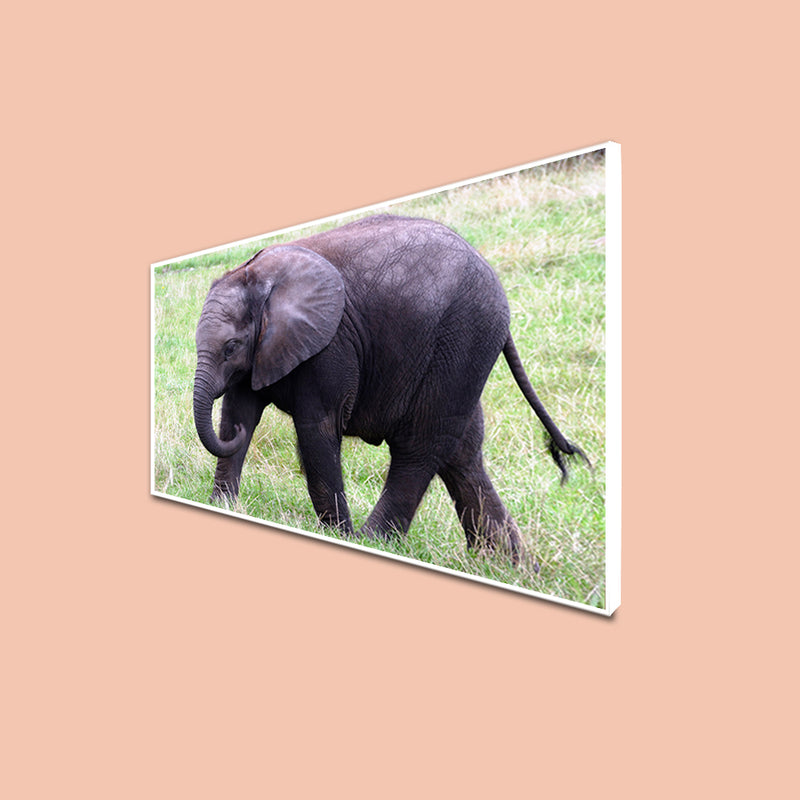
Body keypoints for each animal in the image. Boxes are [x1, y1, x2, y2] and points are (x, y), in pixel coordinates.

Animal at [193, 214, 589, 563]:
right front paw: (223, 504)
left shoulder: (331, 347)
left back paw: (371, 540)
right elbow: (238, 412)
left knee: (421, 446)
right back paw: (508, 566)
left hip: (463, 341)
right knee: (462, 453)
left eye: (230, 347)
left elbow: (318, 428)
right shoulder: (264, 351)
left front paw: (338, 534)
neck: (256, 276)